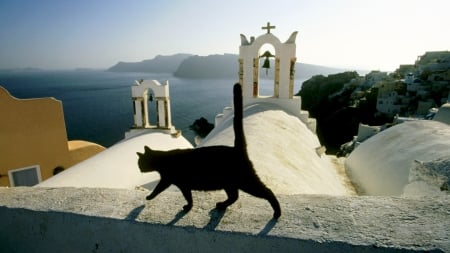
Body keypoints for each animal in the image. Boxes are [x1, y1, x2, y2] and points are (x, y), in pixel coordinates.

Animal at [136, 82, 282, 217]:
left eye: (140, 163)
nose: (140, 169)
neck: (163, 159)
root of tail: (236, 148)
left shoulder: (171, 181)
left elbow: (161, 190)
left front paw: (150, 197)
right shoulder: (183, 185)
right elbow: (188, 197)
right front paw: (189, 207)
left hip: (245, 181)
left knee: (267, 191)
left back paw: (277, 212)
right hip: (229, 183)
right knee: (234, 196)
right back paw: (222, 205)